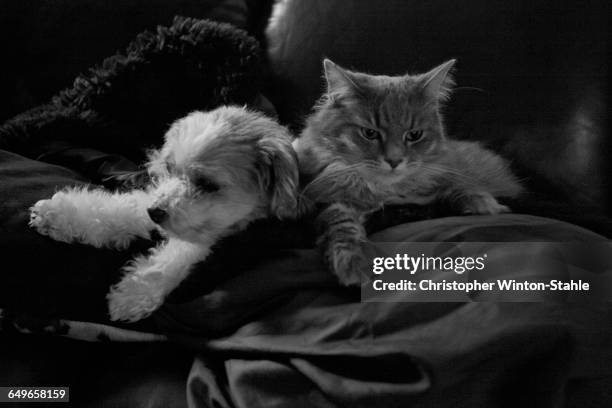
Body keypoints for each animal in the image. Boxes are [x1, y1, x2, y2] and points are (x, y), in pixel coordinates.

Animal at [29, 106, 300, 322]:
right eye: (169, 168)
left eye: (207, 184)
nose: (155, 213)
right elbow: (120, 208)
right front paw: (58, 214)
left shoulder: (209, 233)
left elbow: (176, 256)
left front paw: (132, 294)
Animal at [296, 59, 520, 286]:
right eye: (370, 133)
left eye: (414, 135)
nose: (394, 161)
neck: (387, 191)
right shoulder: (334, 200)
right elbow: (341, 225)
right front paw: (353, 261)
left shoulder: (442, 173)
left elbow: (455, 186)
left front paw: (484, 204)